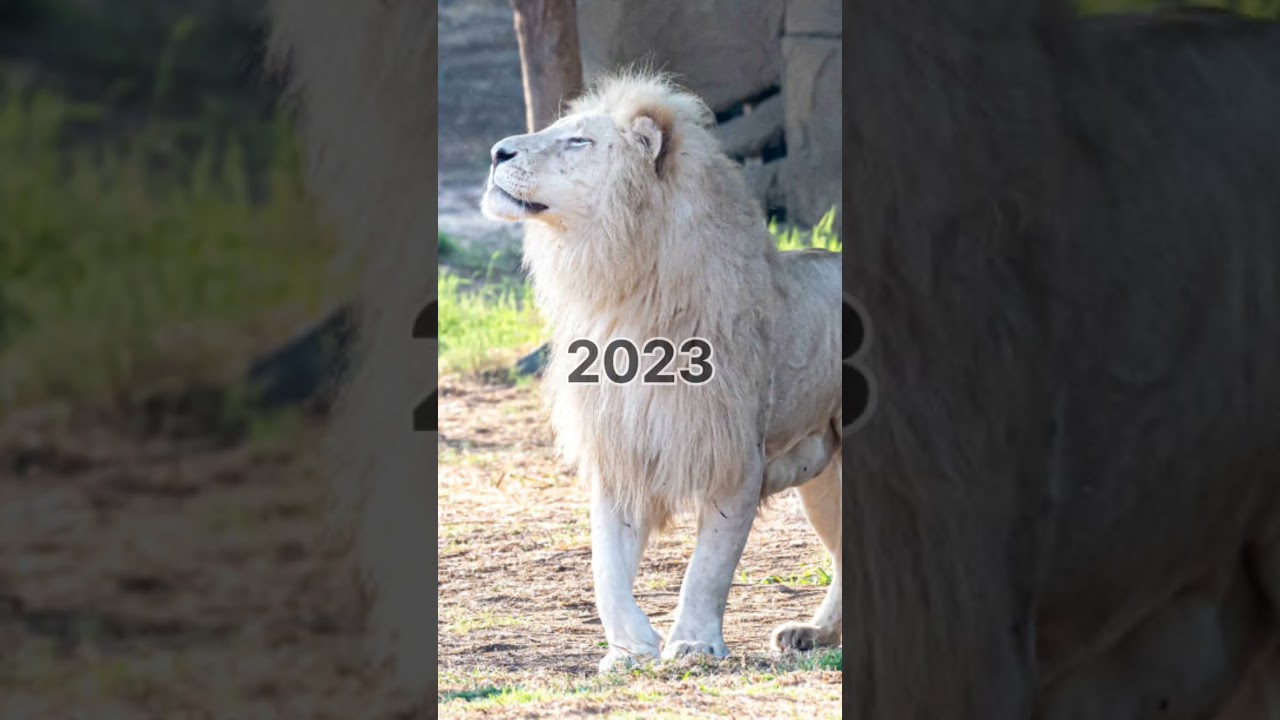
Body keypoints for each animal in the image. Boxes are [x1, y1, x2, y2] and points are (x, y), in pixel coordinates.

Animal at [479, 71, 843, 671]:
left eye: (578, 141)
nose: (496, 151)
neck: (622, 291)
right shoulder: (619, 447)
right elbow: (605, 567)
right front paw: (630, 650)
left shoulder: (732, 455)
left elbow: (709, 566)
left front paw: (693, 645)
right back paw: (811, 634)